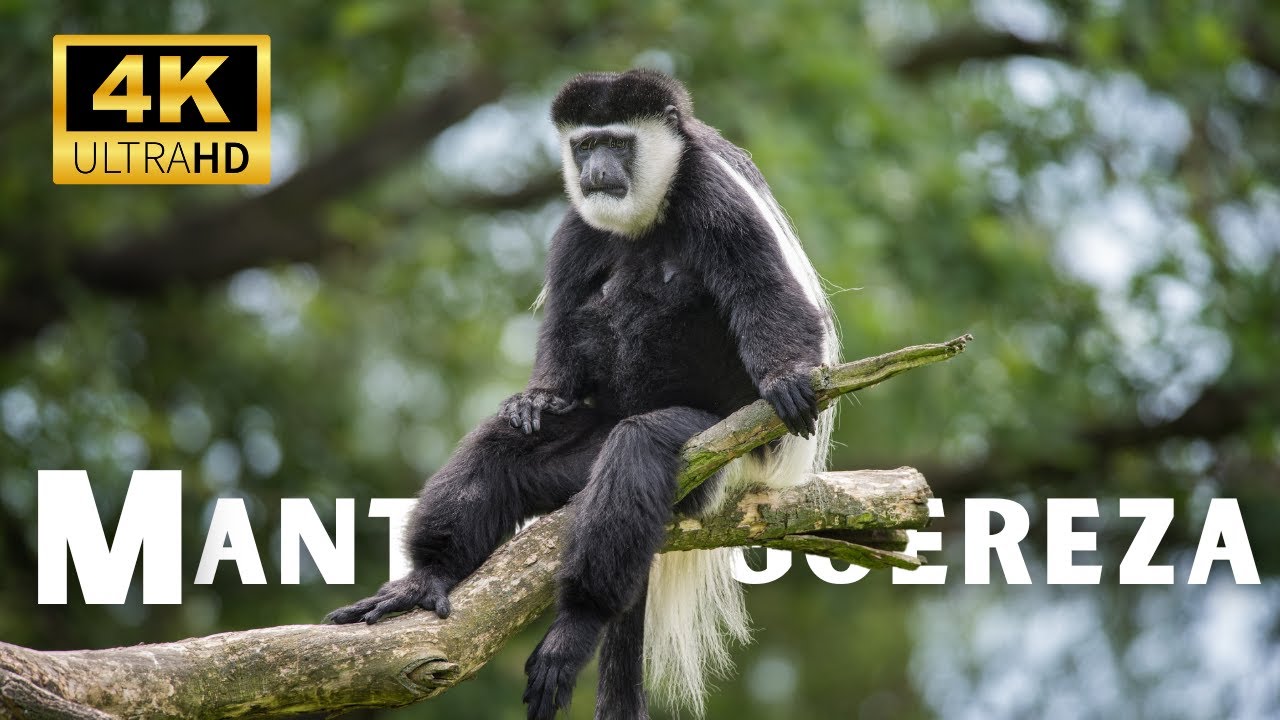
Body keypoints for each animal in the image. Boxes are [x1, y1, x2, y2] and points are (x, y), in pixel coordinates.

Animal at [327, 69, 840, 720]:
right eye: (585, 144)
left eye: (617, 143)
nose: (596, 170)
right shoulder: (578, 224)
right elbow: (565, 317)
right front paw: (536, 399)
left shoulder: (714, 198)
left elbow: (763, 291)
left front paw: (787, 380)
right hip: (578, 463)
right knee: (498, 452)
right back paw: (427, 579)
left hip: (718, 458)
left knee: (639, 449)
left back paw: (575, 625)